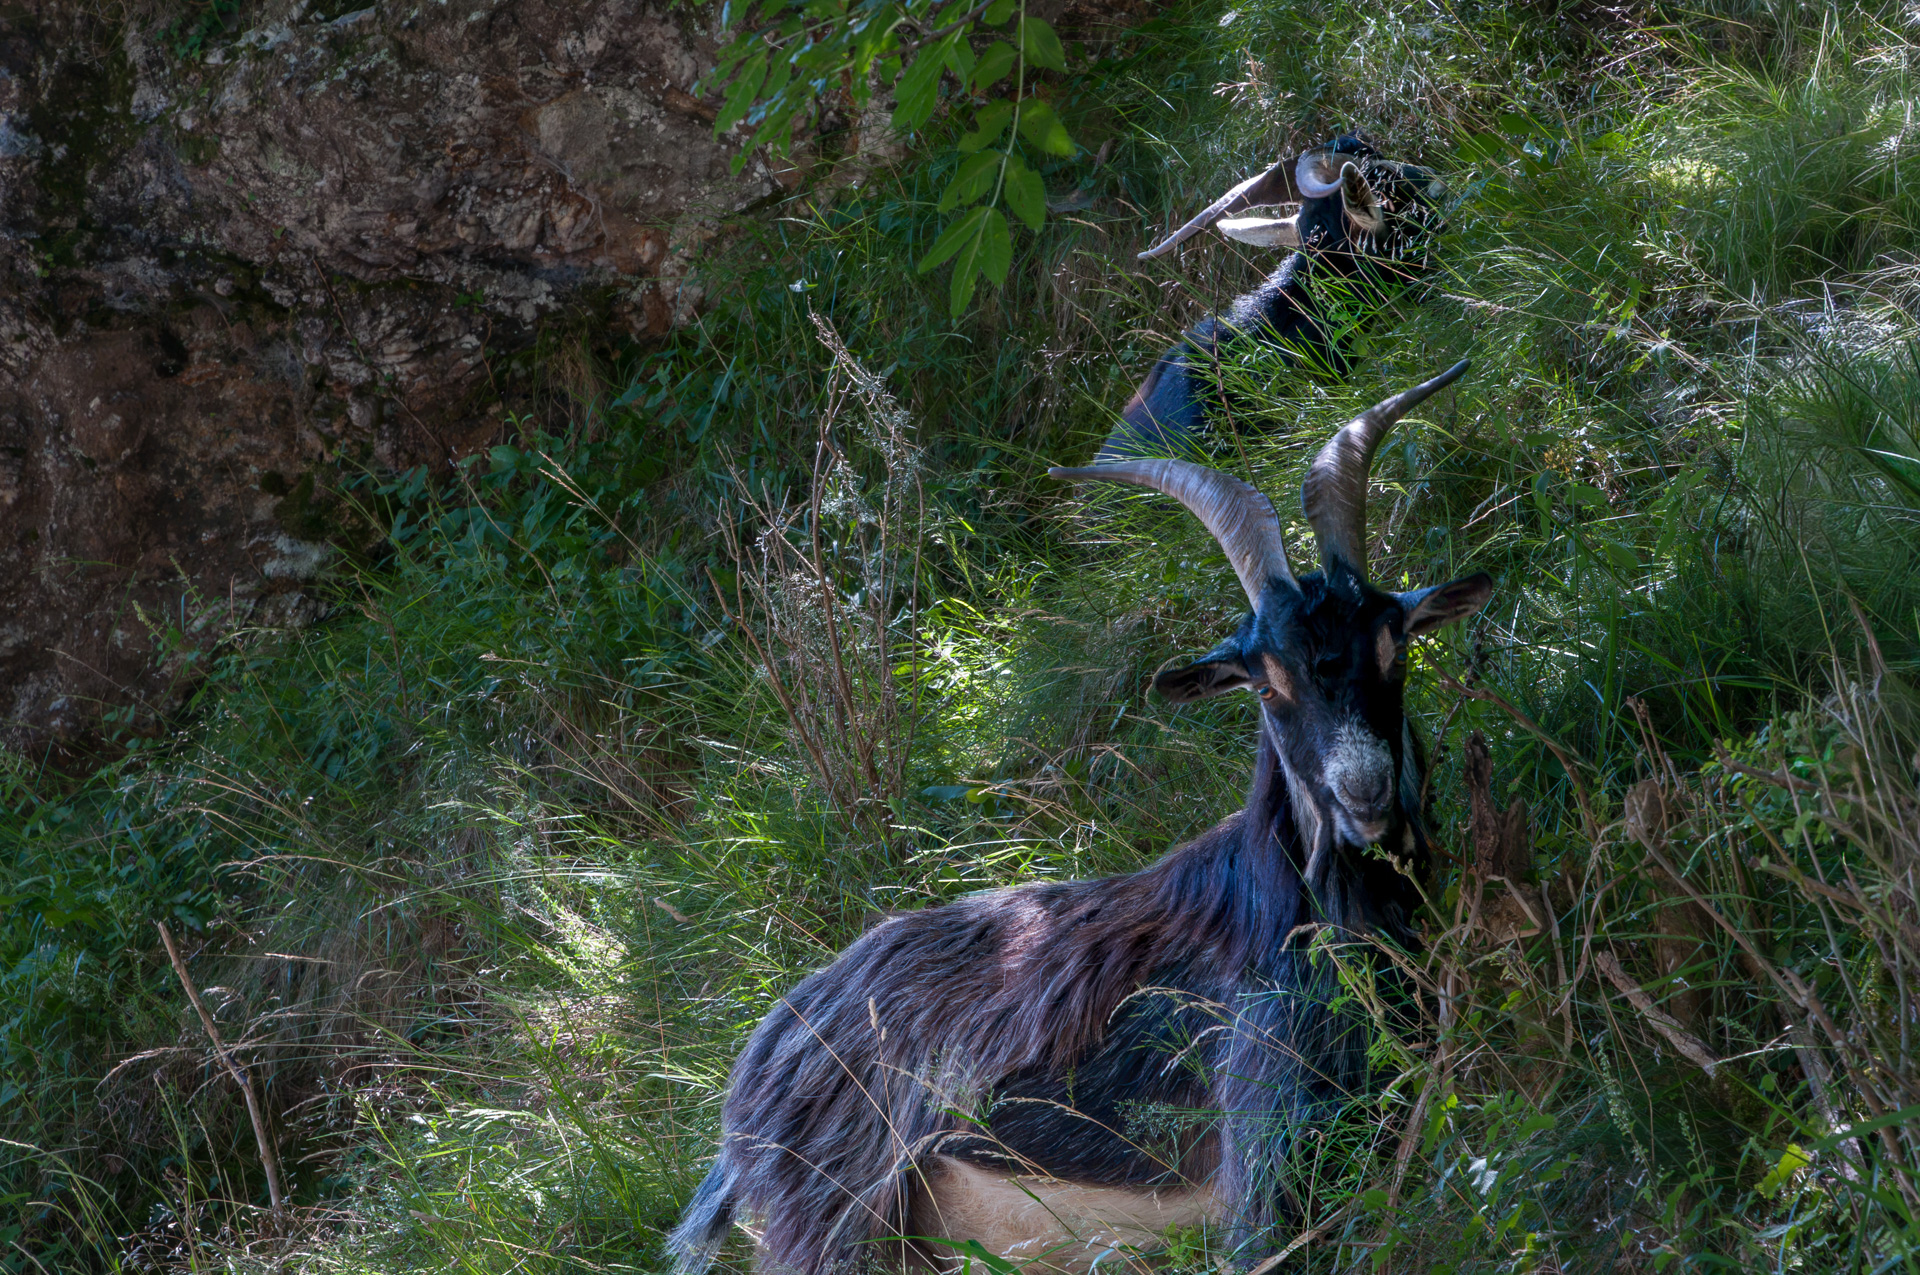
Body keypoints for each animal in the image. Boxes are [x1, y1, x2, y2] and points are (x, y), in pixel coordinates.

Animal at [670, 363, 1492, 1275]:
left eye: (1394, 644)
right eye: (1264, 679)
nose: (1366, 791)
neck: (1295, 909)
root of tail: (761, 1062)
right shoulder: (1264, 1160)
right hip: (831, 1217)